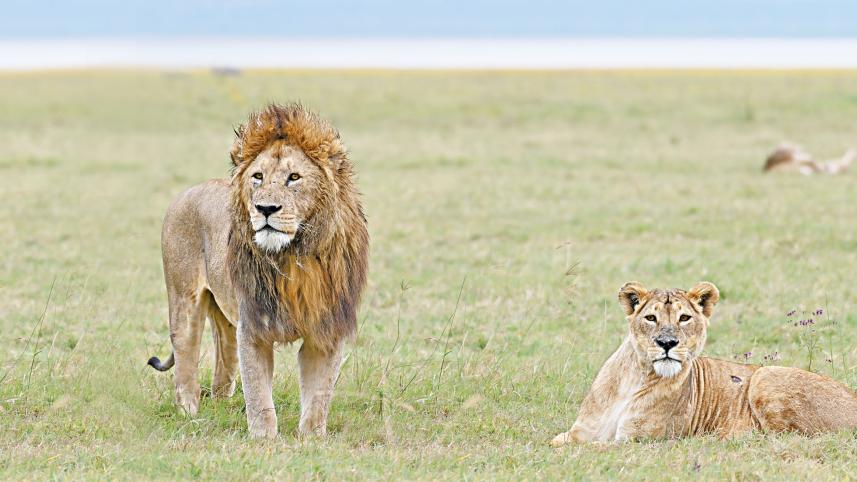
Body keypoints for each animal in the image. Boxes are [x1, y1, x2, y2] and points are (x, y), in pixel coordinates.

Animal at [147, 103, 369, 439]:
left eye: (294, 177)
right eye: (258, 177)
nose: (265, 209)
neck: (292, 255)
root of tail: (189, 191)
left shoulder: (326, 329)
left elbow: (319, 393)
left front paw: (312, 438)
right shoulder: (253, 326)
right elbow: (258, 392)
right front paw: (264, 438)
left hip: (225, 311)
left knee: (224, 350)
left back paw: (221, 403)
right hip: (184, 298)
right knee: (185, 351)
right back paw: (189, 410)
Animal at [551, 282, 857, 446]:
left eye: (684, 318)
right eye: (651, 318)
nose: (667, 342)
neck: (634, 378)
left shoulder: (637, 441)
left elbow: (590, 449)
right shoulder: (582, 431)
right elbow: (555, 443)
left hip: (765, 376)